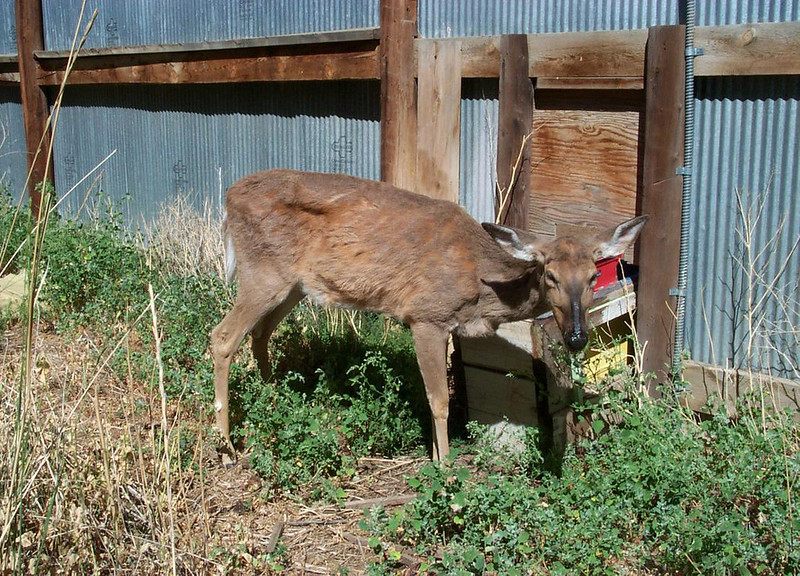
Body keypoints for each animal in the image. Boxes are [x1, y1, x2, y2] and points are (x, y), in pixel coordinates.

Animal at [209, 170, 648, 464]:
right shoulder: (425, 316)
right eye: (550, 274)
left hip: (293, 285)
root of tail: (228, 198)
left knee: (260, 335)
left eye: (593, 276)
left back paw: (274, 400)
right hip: (263, 273)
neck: (480, 286)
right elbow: (439, 400)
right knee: (222, 336)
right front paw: (446, 468)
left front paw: (438, 457)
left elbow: (433, 395)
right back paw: (228, 447)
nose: (576, 337)